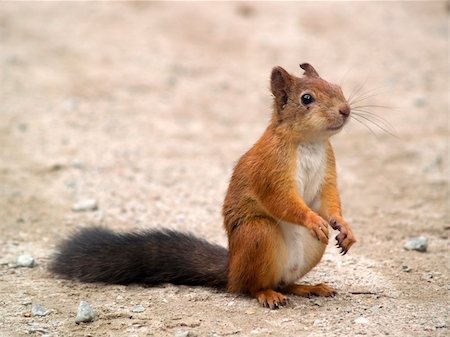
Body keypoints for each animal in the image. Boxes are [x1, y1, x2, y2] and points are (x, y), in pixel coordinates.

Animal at [51, 61, 356, 308]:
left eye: (338, 87)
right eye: (307, 98)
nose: (345, 110)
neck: (309, 142)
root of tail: (231, 270)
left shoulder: (327, 171)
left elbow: (329, 200)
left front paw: (343, 227)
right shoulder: (270, 170)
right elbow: (282, 200)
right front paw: (314, 220)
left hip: (309, 252)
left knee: (285, 283)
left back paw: (309, 287)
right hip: (257, 234)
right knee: (251, 286)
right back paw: (267, 294)